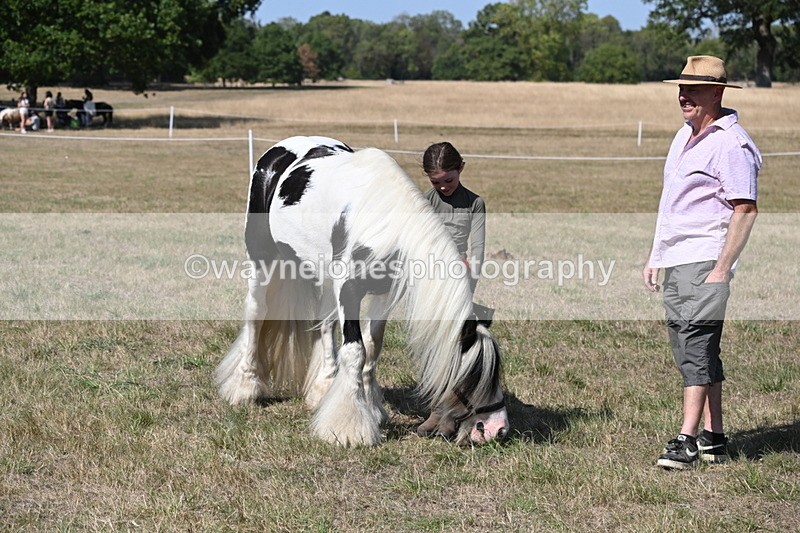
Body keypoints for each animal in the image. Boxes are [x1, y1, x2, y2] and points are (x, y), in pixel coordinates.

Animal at [214, 136, 510, 447]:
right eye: (474, 375)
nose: (497, 429)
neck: (386, 223)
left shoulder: (383, 292)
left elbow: (372, 346)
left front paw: (371, 409)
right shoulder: (349, 290)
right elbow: (355, 350)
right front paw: (350, 427)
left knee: (325, 325)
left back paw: (323, 388)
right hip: (262, 258)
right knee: (256, 315)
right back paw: (245, 387)